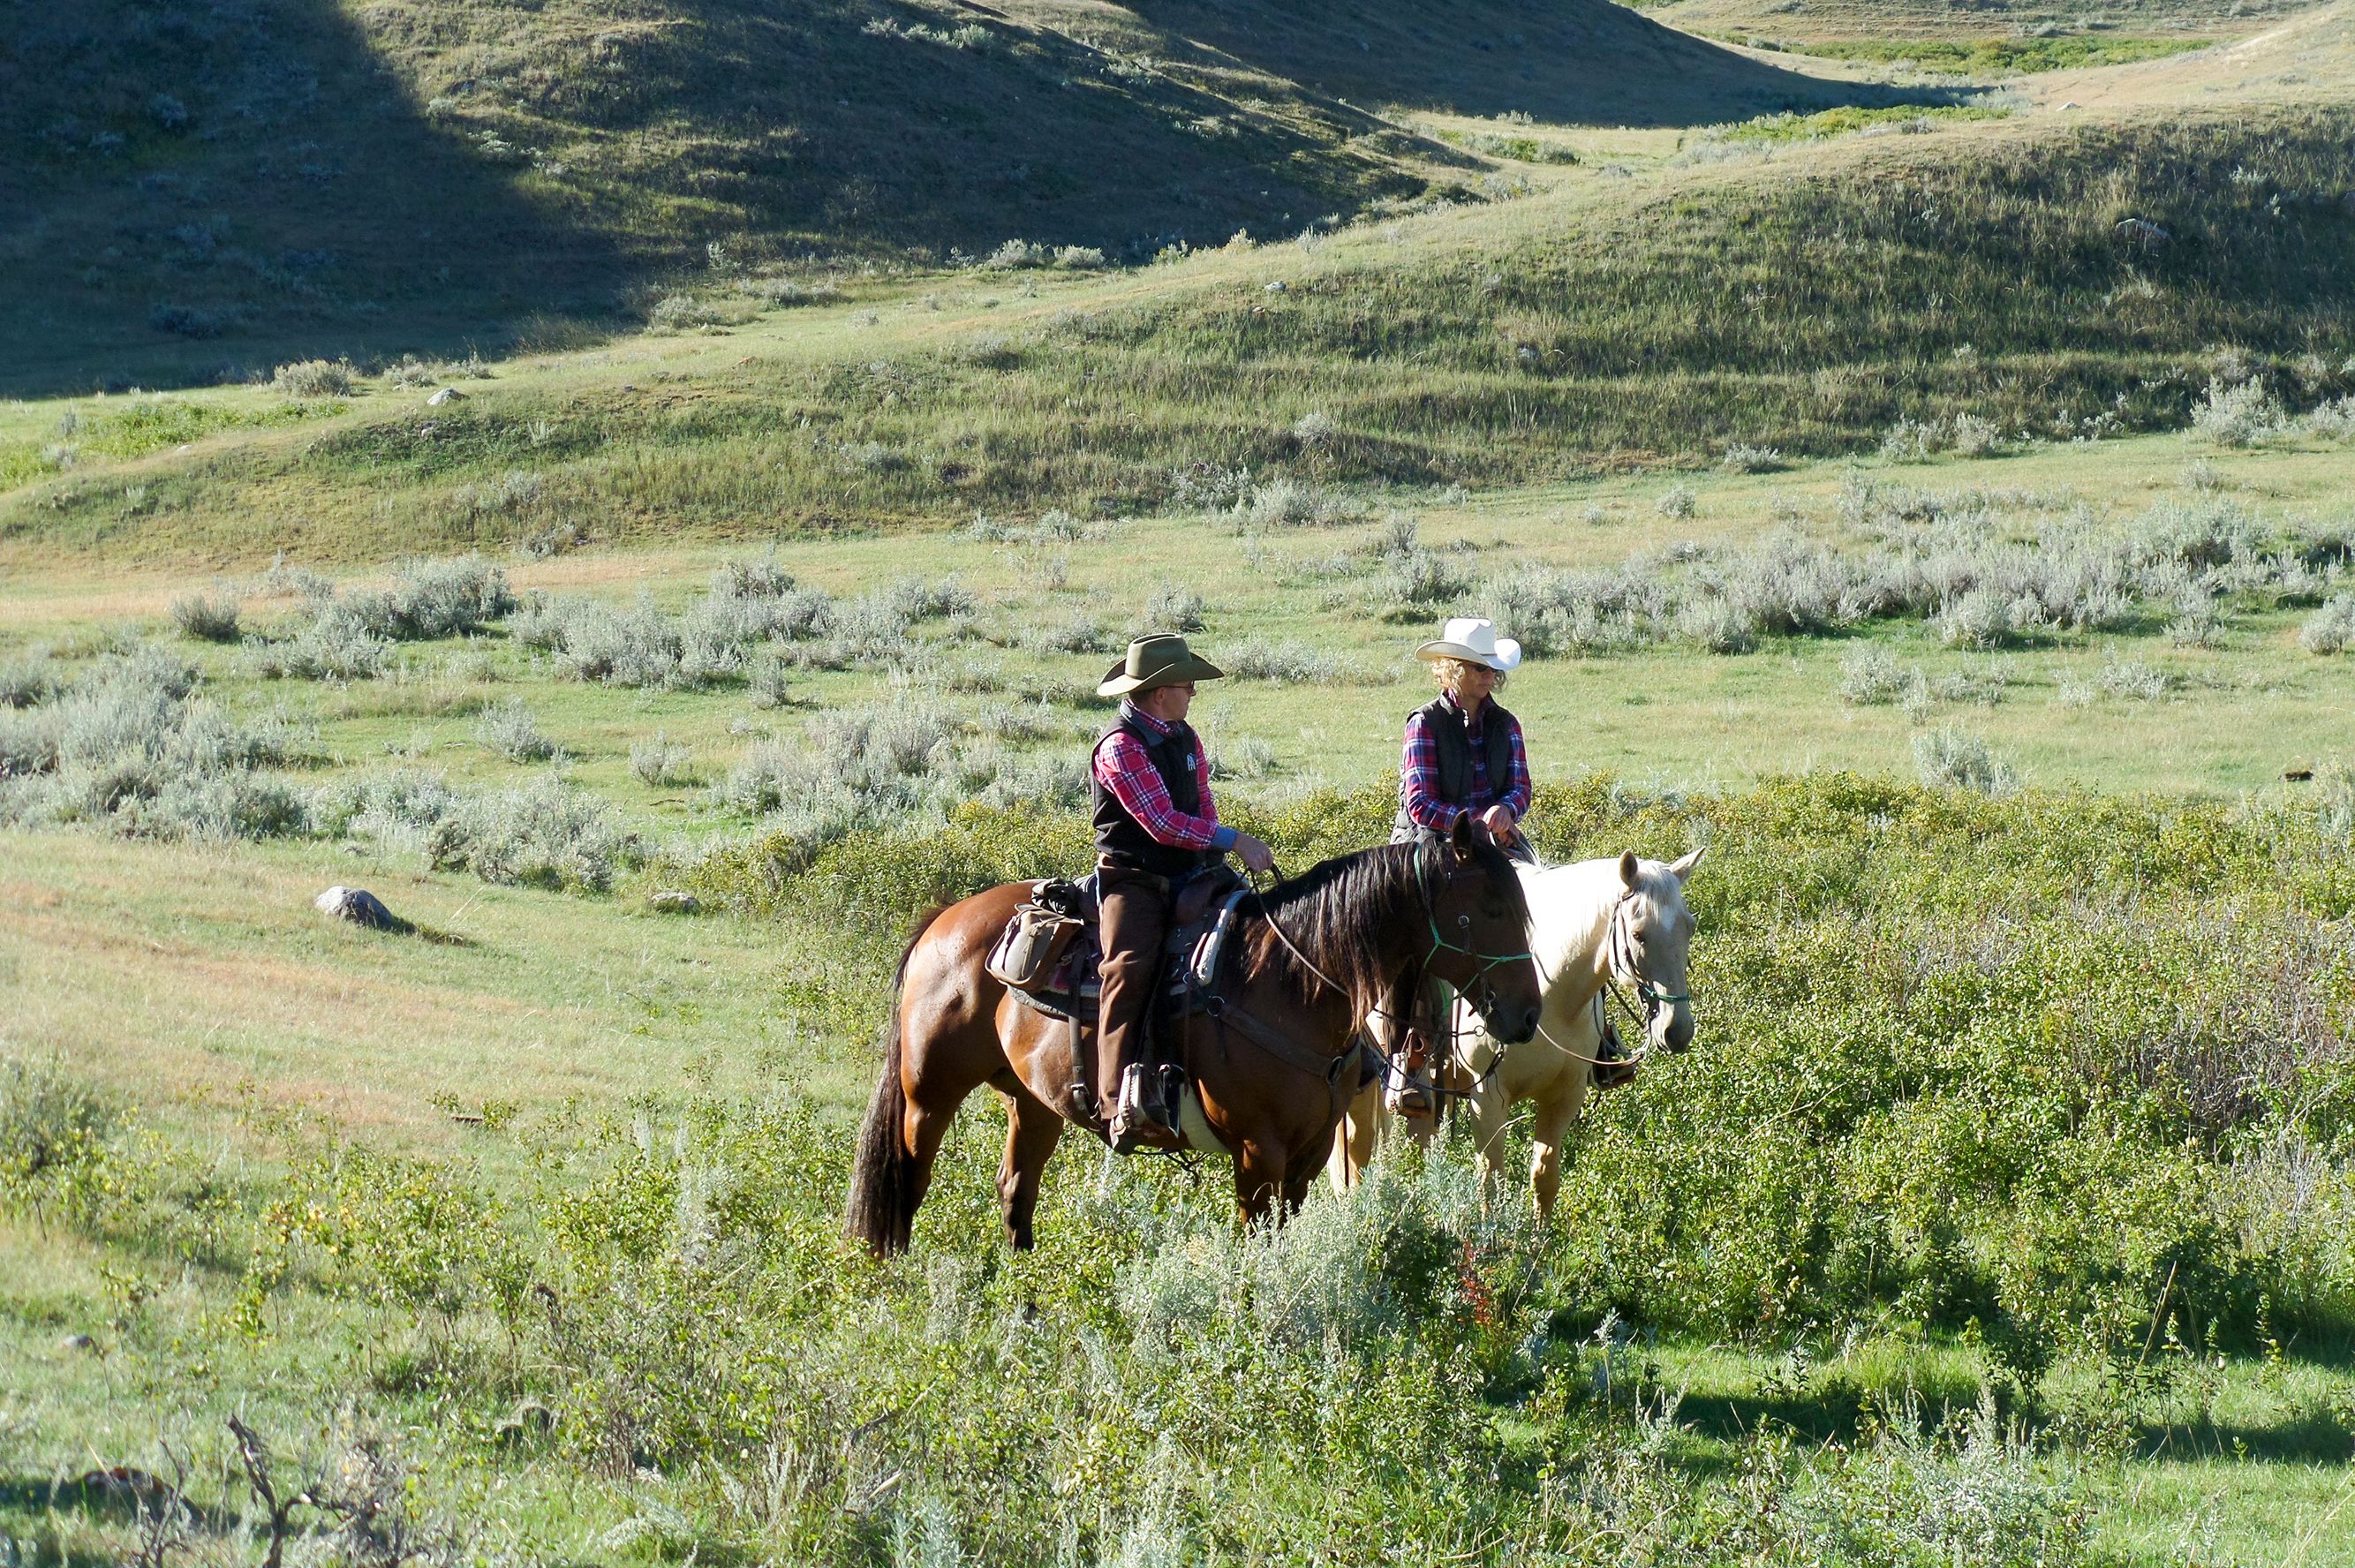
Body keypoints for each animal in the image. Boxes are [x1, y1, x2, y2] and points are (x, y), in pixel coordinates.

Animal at [848, 810, 1544, 1252]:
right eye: (1489, 908)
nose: (1527, 1016)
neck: (1291, 983)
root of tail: (945, 919)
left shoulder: (1311, 1148)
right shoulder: (1257, 1152)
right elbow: (1254, 1240)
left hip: (1032, 1101)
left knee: (1016, 1190)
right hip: (929, 1092)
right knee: (907, 1182)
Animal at [1337, 848, 1704, 1215]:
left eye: (1689, 927)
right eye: (1639, 934)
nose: (1677, 1030)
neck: (1552, 995)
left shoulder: (1564, 1095)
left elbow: (1544, 1180)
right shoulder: (1488, 1098)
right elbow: (1491, 1186)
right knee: (1358, 1153)